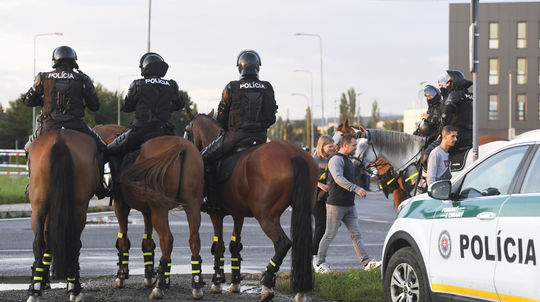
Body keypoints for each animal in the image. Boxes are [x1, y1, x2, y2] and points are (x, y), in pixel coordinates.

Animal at [26, 129, 99, 302]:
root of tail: (60, 139)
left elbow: (48, 240)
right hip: (79, 207)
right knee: (73, 242)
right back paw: (74, 288)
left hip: (38, 204)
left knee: (39, 242)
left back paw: (34, 290)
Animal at [93, 125, 205, 300]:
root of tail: (181, 147)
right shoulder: (148, 212)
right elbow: (147, 242)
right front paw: (149, 276)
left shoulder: (121, 206)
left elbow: (123, 240)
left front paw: (122, 275)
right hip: (192, 206)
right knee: (194, 240)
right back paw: (196, 285)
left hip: (160, 209)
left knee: (167, 239)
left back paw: (160, 286)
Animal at [188, 112, 318, 300]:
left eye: (187, 131)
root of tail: (294, 154)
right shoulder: (238, 214)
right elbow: (235, 245)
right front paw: (234, 283)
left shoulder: (216, 214)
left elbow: (218, 246)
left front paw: (217, 282)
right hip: (302, 212)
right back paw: (299, 291)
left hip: (266, 217)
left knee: (282, 243)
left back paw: (267, 283)